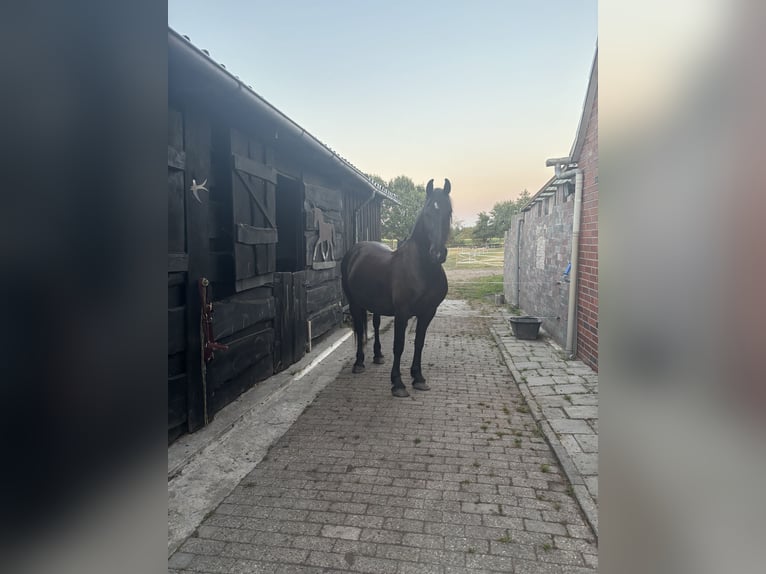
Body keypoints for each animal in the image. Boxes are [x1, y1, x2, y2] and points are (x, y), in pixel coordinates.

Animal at [341, 178, 452, 397]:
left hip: (374, 304)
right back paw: (359, 363)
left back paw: (377, 355)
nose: (437, 253)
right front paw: (398, 383)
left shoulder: (428, 312)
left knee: (374, 325)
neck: (422, 269)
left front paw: (418, 378)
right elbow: (399, 345)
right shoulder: (402, 313)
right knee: (359, 327)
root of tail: (355, 250)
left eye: (448, 212)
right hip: (354, 303)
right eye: (427, 212)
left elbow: (419, 343)